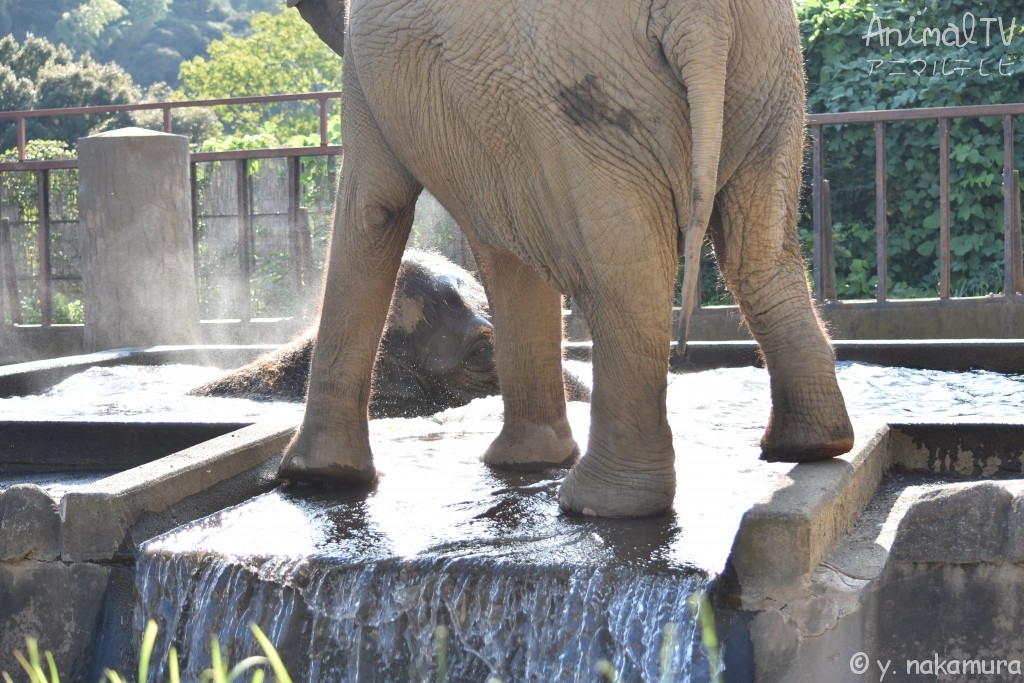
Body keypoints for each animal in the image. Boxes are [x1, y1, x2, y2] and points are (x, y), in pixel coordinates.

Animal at [280, 0, 856, 516]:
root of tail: (700, 16)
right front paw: (525, 462)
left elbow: (375, 208)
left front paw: (317, 477)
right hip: (765, 75)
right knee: (757, 254)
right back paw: (809, 447)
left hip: (579, 97)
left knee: (622, 275)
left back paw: (597, 505)